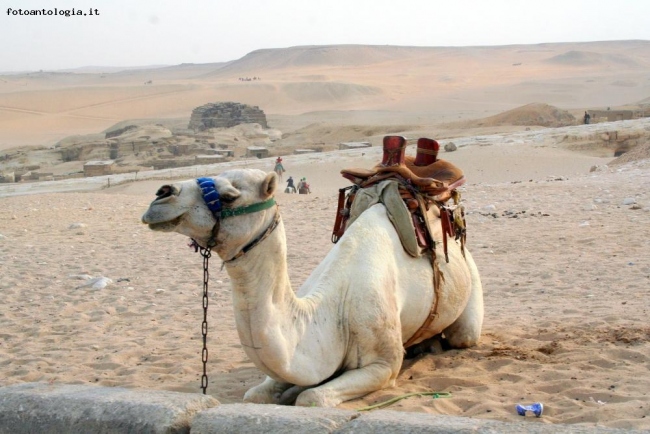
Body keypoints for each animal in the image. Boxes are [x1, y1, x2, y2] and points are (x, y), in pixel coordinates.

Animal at [143, 169, 486, 406]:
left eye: (230, 196)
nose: (162, 193)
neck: (331, 310)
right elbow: (256, 394)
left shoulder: (383, 365)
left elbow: (312, 397)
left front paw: (301, 392)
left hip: (470, 294)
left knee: (462, 335)